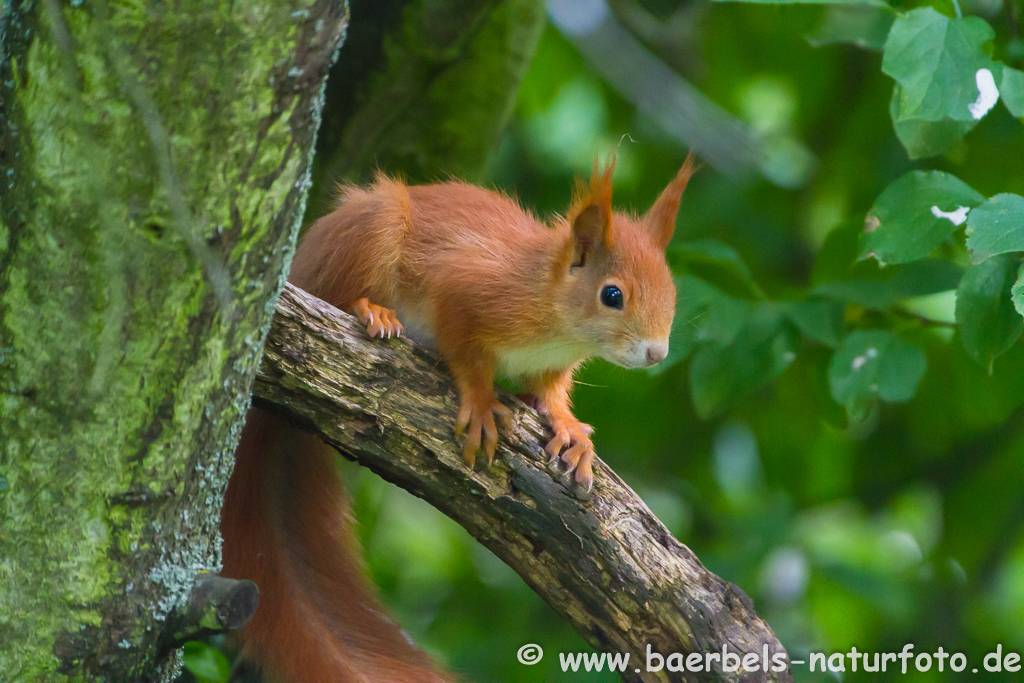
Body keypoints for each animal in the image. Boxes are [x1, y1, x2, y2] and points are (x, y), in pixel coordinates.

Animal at [220, 157, 692, 683]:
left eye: (672, 290)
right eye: (612, 295)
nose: (657, 353)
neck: (554, 318)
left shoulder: (548, 367)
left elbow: (550, 395)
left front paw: (571, 430)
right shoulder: (465, 291)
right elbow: (465, 354)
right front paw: (483, 405)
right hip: (369, 232)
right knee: (345, 292)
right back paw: (372, 310)